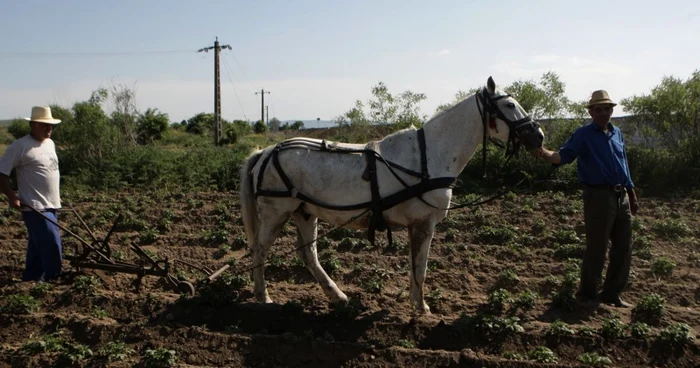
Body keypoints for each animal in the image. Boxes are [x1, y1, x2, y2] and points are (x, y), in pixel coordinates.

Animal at [238, 77, 544, 314]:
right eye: (509, 105)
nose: (538, 136)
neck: (429, 155)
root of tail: (266, 152)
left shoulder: (415, 225)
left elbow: (414, 265)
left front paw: (414, 301)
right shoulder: (423, 223)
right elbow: (420, 267)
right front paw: (422, 307)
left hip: (304, 212)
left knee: (308, 255)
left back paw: (338, 296)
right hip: (277, 212)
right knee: (260, 250)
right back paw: (263, 296)